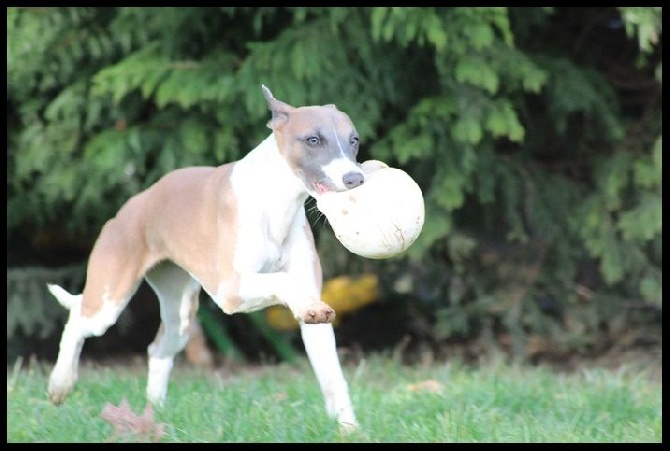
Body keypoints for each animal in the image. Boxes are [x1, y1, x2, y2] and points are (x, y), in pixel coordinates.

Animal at [48, 85, 364, 430]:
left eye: (354, 140)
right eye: (313, 139)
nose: (355, 179)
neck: (275, 202)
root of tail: (134, 203)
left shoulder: (311, 308)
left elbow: (333, 376)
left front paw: (349, 429)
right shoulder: (231, 290)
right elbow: (281, 280)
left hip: (180, 313)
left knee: (158, 349)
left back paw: (153, 416)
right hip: (109, 299)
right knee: (77, 319)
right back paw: (61, 384)